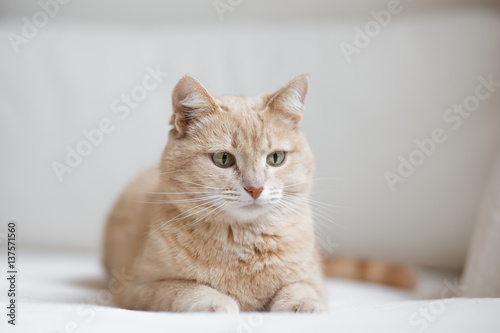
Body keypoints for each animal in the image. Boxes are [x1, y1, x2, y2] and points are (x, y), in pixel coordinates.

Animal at [102, 74, 414, 312]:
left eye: (275, 158)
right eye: (223, 159)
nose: (255, 188)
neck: (245, 241)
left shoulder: (313, 279)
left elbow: (303, 288)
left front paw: (300, 304)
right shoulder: (136, 288)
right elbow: (185, 289)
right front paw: (216, 301)